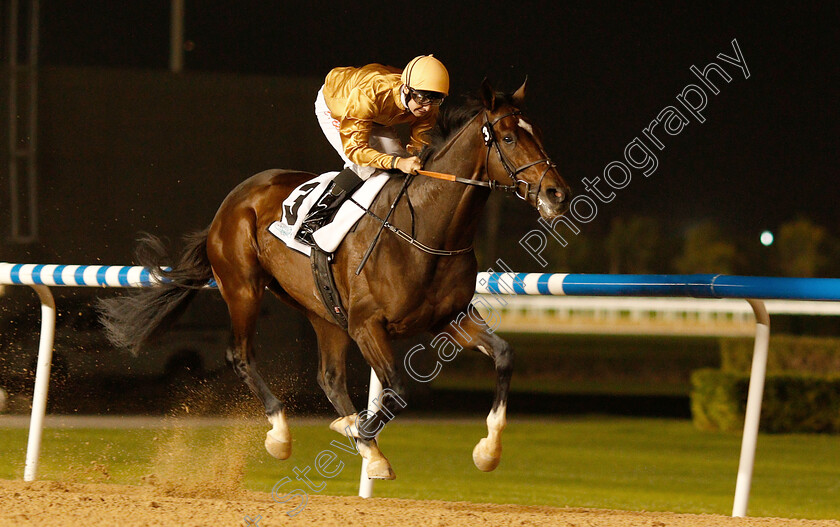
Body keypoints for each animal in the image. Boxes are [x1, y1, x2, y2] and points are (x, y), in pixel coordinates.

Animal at [98, 79, 572, 482]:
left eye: (537, 132)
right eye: (508, 138)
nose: (557, 194)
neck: (425, 229)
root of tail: (231, 202)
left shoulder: (449, 319)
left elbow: (505, 355)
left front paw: (487, 451)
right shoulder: (367, 325)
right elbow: (397, 389)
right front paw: (360, 433)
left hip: (322, 310)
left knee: (328, 376)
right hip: (243, 288)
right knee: (241, 355)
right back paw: (282, 434)